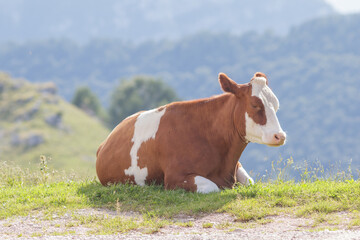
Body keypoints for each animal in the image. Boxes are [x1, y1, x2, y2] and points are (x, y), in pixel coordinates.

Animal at [96, 72, 286, 193]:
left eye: (277, 105)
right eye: (255, 105)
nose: (280, 136)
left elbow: (250, 182)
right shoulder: (175, 178)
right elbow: (212, 187)